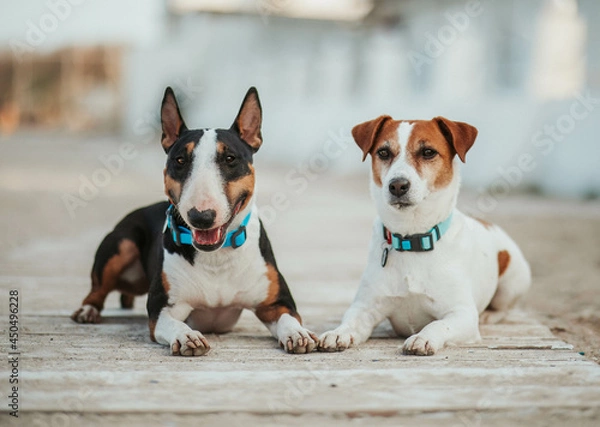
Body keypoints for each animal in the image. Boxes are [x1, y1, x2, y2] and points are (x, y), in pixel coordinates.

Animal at [318, 115, 528, 356]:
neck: (411, 238)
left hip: (512, 281)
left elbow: (438, 324)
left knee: (503, 307)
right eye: (383, 152)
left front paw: (423, 338)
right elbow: (351, 321)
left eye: (428, 152)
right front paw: (338, 333)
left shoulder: (461, 314)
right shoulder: (365, 307)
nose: (397, 185)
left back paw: (488, 315)